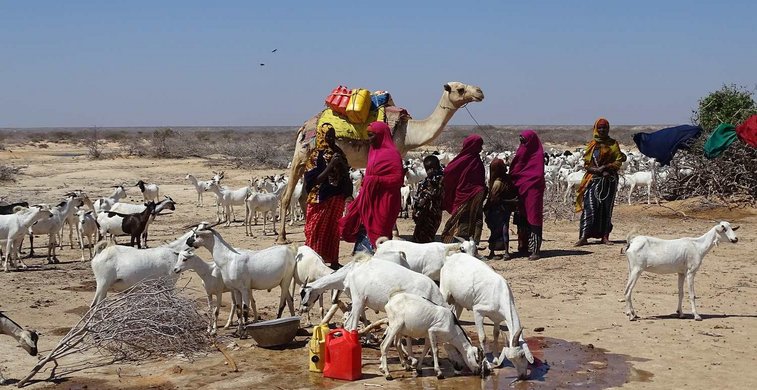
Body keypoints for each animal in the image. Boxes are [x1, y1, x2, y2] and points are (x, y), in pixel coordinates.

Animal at [274, 80, 482, 242]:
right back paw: (282, 237)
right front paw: (393, 233)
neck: (408, 133)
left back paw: (309, 232)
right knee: (286, 196)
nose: (480, 92)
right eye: (460, 89)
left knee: (303, 195)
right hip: (301, 154)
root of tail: (303, 127)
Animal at [440, 251, 536, 380]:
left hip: (458, 301)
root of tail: (450, 257)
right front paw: (487, 363)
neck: (499, 293)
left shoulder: (498, 318)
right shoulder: (478, 311)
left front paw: (495, 359)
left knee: (454, 314)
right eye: (513, 359)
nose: (522, 376)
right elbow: (483, 337)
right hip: (444, 292)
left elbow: (495, 334)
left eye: (522, 355)